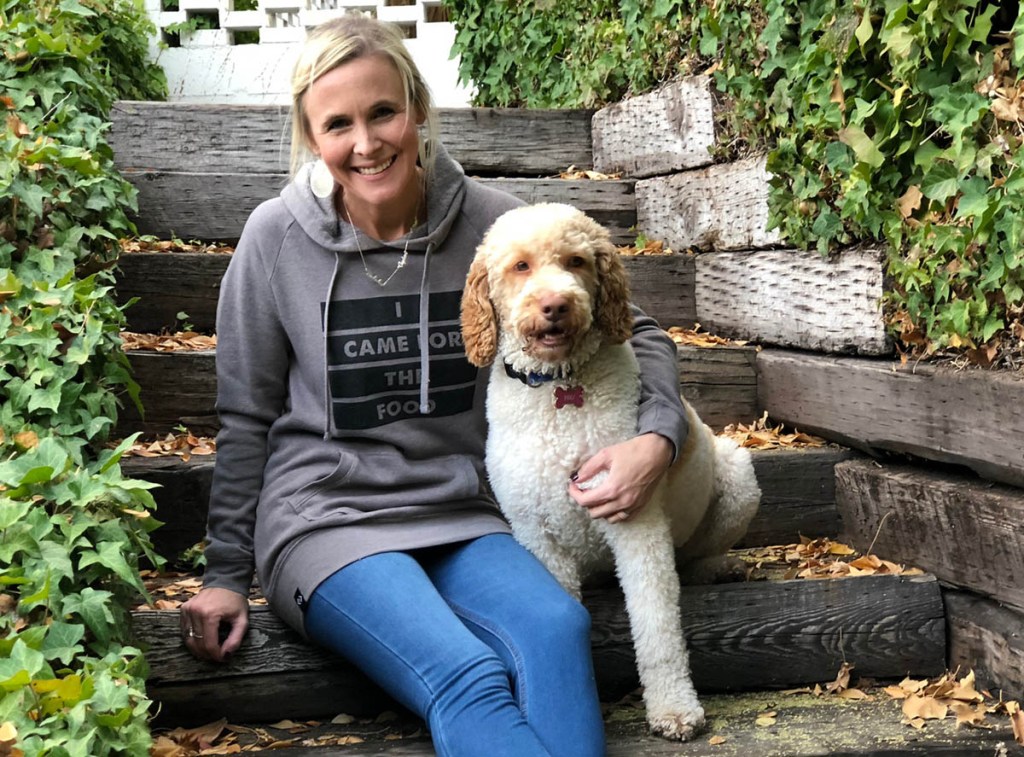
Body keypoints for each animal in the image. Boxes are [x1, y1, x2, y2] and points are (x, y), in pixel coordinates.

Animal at [458, 203, 761, 741]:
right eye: (520, 266)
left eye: (576, 261)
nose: (556, 305)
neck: (557, 390)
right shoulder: (537, 535)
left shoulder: (636, 524)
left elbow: (657, 628)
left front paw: (674, 709)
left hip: (737, 471)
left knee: (695, 555)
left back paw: (717, 568)